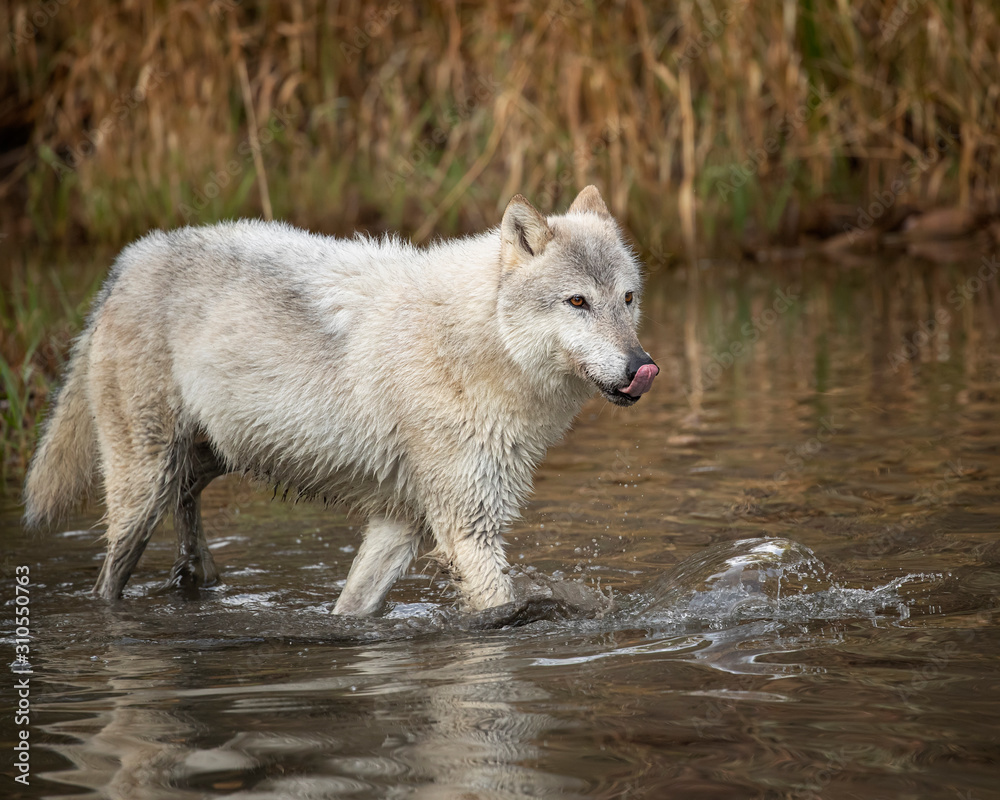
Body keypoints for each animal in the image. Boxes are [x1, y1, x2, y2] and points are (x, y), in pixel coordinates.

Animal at [23, 185, 658, 615]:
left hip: (215, 455)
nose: (642, 367)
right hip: (142, 487)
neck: (476, 342)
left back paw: (196, 573)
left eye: (626, 299)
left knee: (188, 497)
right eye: (577, 302)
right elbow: (501, 609)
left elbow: (351, 608)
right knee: (110, 575)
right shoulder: (468, 531)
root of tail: (129, 260)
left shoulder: (401, 523)